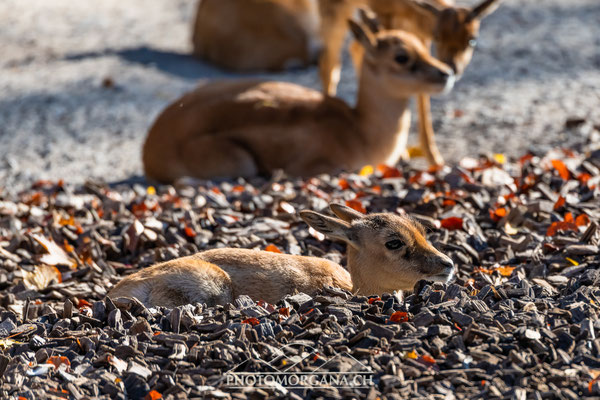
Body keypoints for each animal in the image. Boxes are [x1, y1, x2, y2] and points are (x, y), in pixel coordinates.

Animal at [143, 10, 452, 183]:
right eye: (401, 57)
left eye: (421, 45)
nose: (446, 73)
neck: (358, 130)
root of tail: (151, 147)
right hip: (240, 162)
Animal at [318, 0, 502, 166]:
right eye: (438, 36)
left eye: (472, 39)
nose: (452, 67)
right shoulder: (384, 16)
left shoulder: (418, 37)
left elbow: (422, 91)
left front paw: (435, 159)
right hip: (335, 15)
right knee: (329, 61)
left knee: (354, 47)